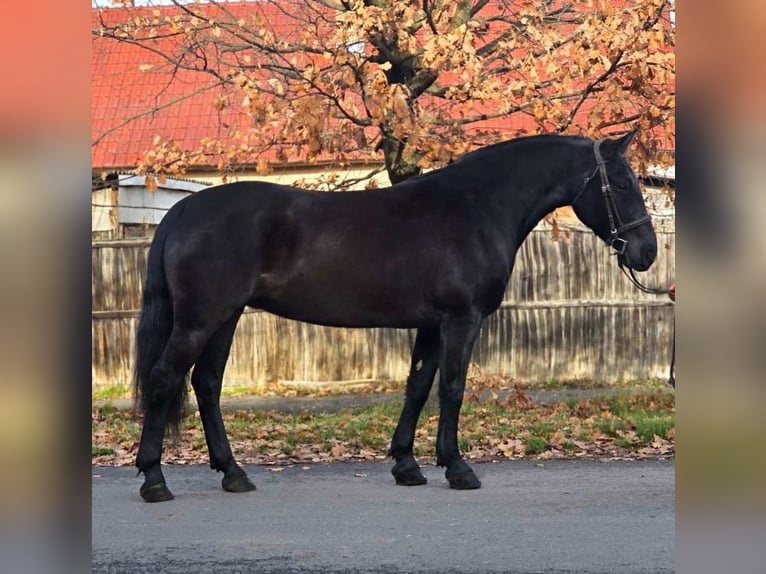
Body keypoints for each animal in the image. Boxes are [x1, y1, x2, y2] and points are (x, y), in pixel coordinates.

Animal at [133, 130, 657, 502]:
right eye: (624, 183)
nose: (647, 252)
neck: (476, 207)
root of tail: (182, 210)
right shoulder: (461, 320)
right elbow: (451, 388)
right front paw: (458, 468)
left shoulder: (430, 324)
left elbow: (418, 386)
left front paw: (407, 465)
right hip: (201, 320)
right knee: (164, 380)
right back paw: (154, 480)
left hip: (224, 319)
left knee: (206, 385)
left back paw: (233, 473)